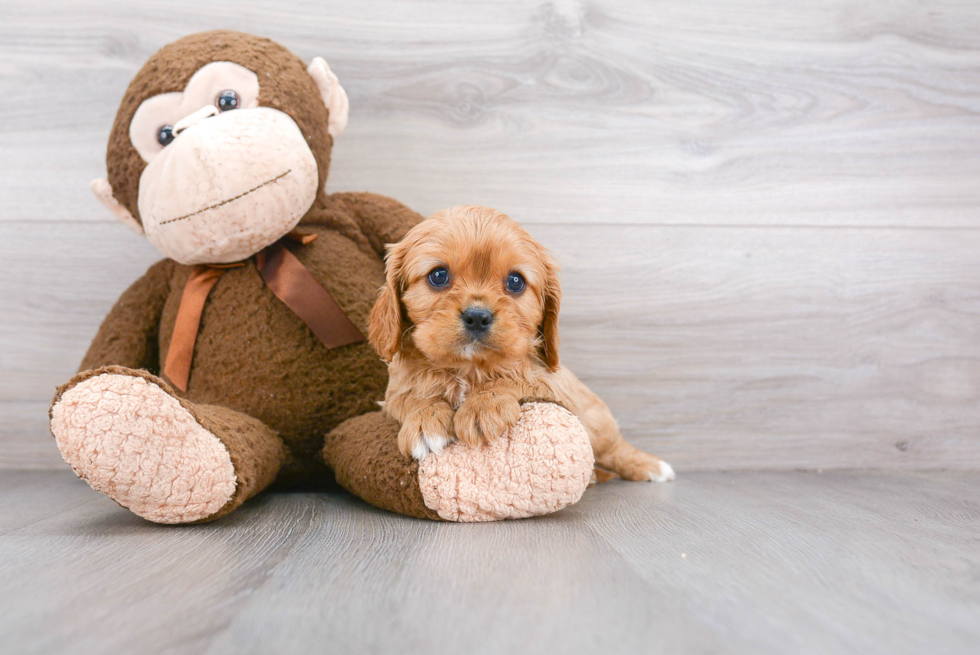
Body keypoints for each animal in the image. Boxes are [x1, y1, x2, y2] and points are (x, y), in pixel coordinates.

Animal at [368, 205, 672, 482]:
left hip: (598, 423)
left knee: (615, 449)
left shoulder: (556, 385)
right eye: (438, 275)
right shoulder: (392, 395)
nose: (477, 317)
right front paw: (425, 420)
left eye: (515, 281)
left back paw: (652, 467)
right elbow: (411, 396)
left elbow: (517, 378)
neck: (469, 367)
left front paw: (483, 407)